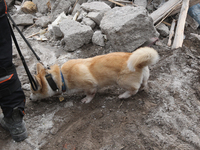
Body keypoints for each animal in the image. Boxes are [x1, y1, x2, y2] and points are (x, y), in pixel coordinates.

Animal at [29, 47, 159, 103]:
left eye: (34, 91)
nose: (29, 99)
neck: (60, 78)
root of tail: (140, 64)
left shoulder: (89, 86)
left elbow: (90, 94)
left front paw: (86, 100)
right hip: (143, 77)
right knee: (143, 84)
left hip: (122, 81)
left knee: (133, 90)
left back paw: (123, 95)